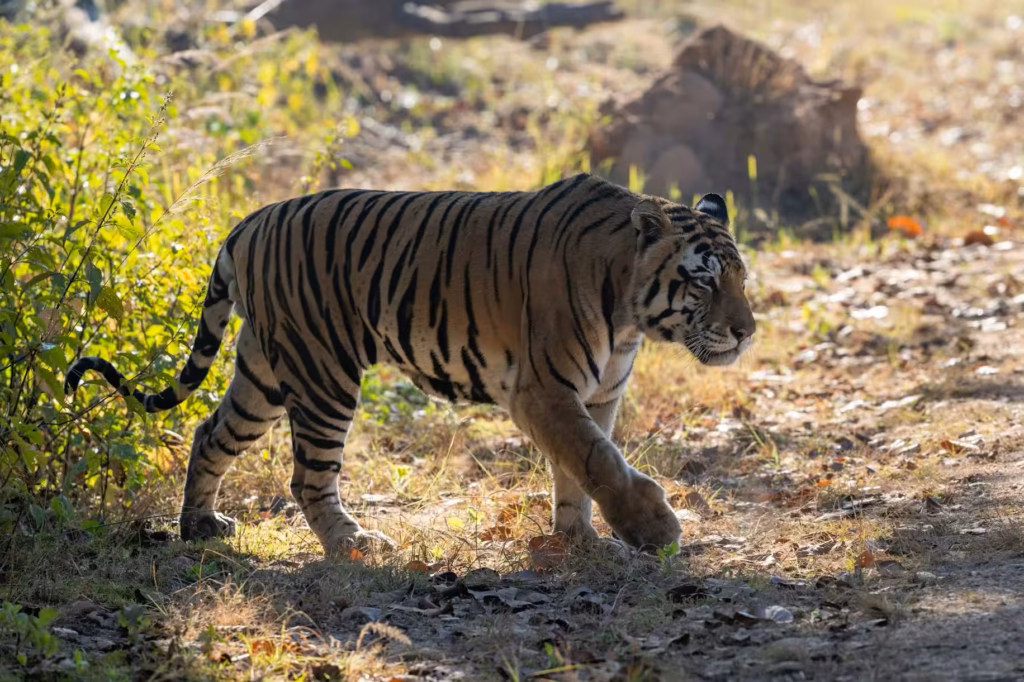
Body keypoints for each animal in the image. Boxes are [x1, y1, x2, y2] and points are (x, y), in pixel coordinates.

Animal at [65, 173, 755, 556]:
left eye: (742, 278)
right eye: (703, 281)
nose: (747, 332)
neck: (629, 316)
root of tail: (249, 222)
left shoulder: (598, 394)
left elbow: (578, 469)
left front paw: (580, 540)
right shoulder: (544, 390)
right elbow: (596, 459)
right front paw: (653, 529)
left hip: (262, 371)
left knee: (210, 433)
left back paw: (200, 526)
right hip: (323, 373)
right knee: (308, 476)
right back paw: (352, 544)